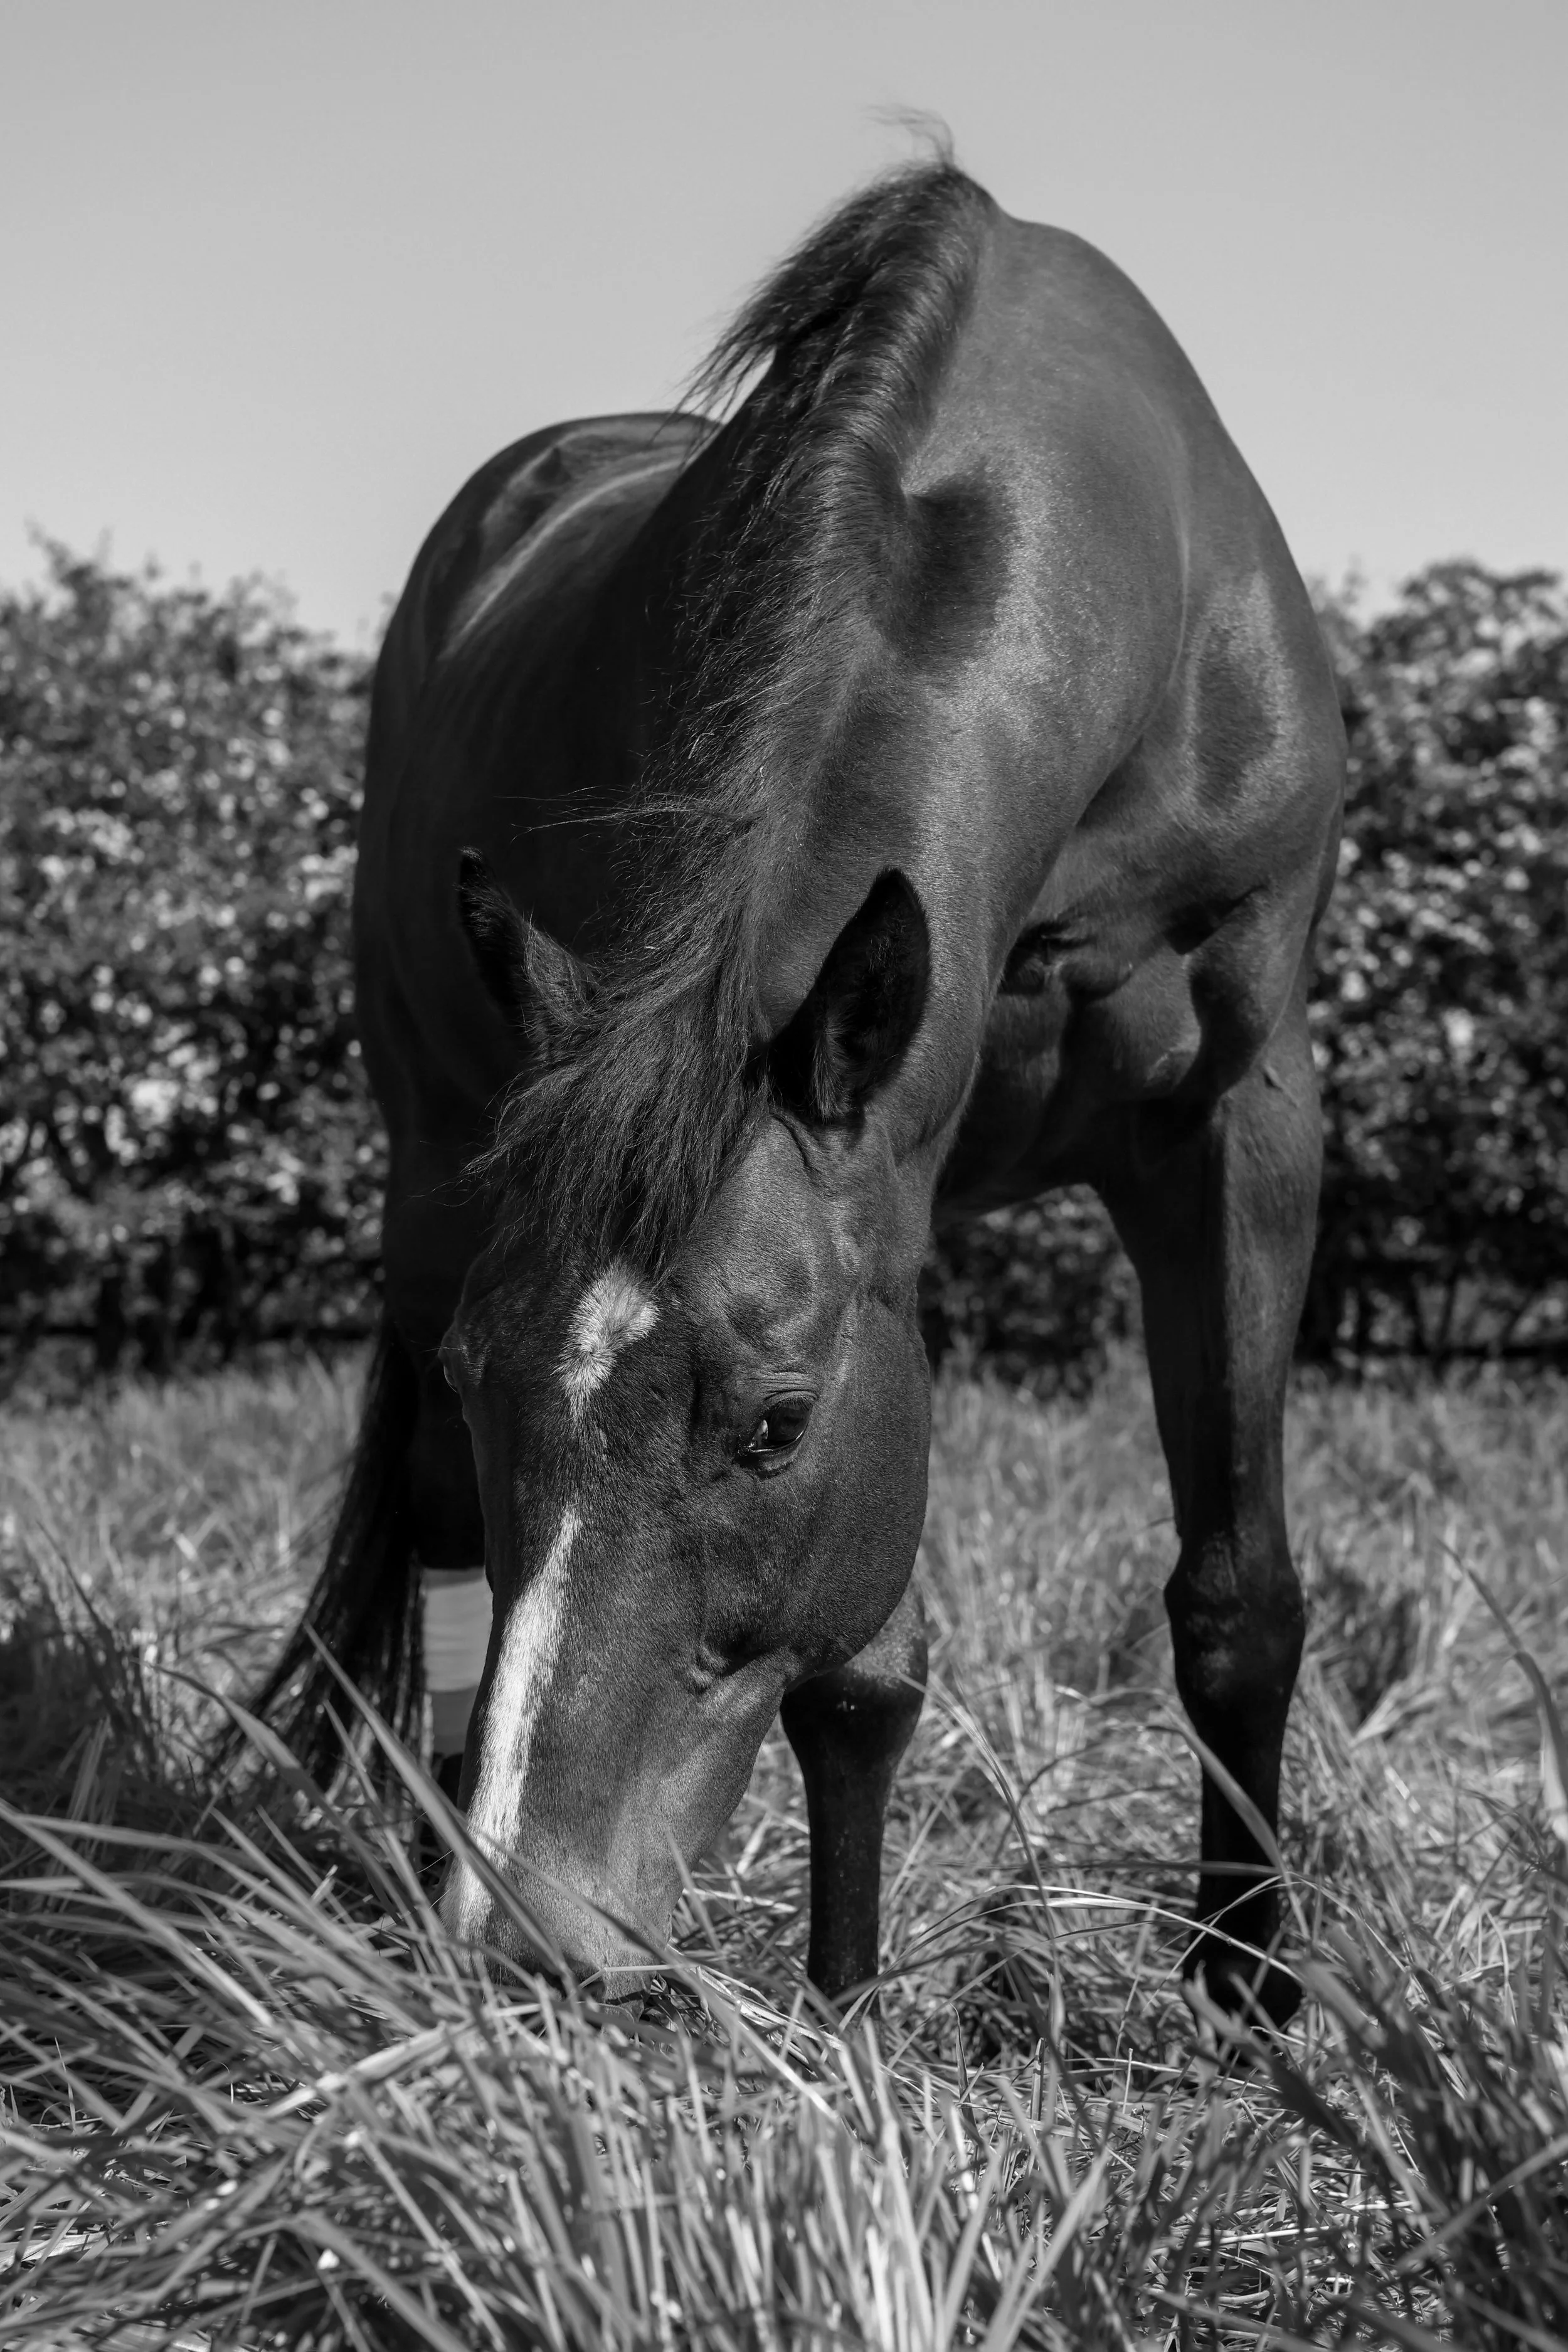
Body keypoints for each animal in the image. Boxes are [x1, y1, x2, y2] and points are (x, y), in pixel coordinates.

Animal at [256, 159, 1344, 2019]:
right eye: (478, 1376)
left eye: (771, 1419)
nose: (535, 1929)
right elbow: (850, 1677)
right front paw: (846, 2016)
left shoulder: (1226, 1123)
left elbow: (1235, 1589)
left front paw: (1245, 1992)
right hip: (434, 1151)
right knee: (442, 1535)